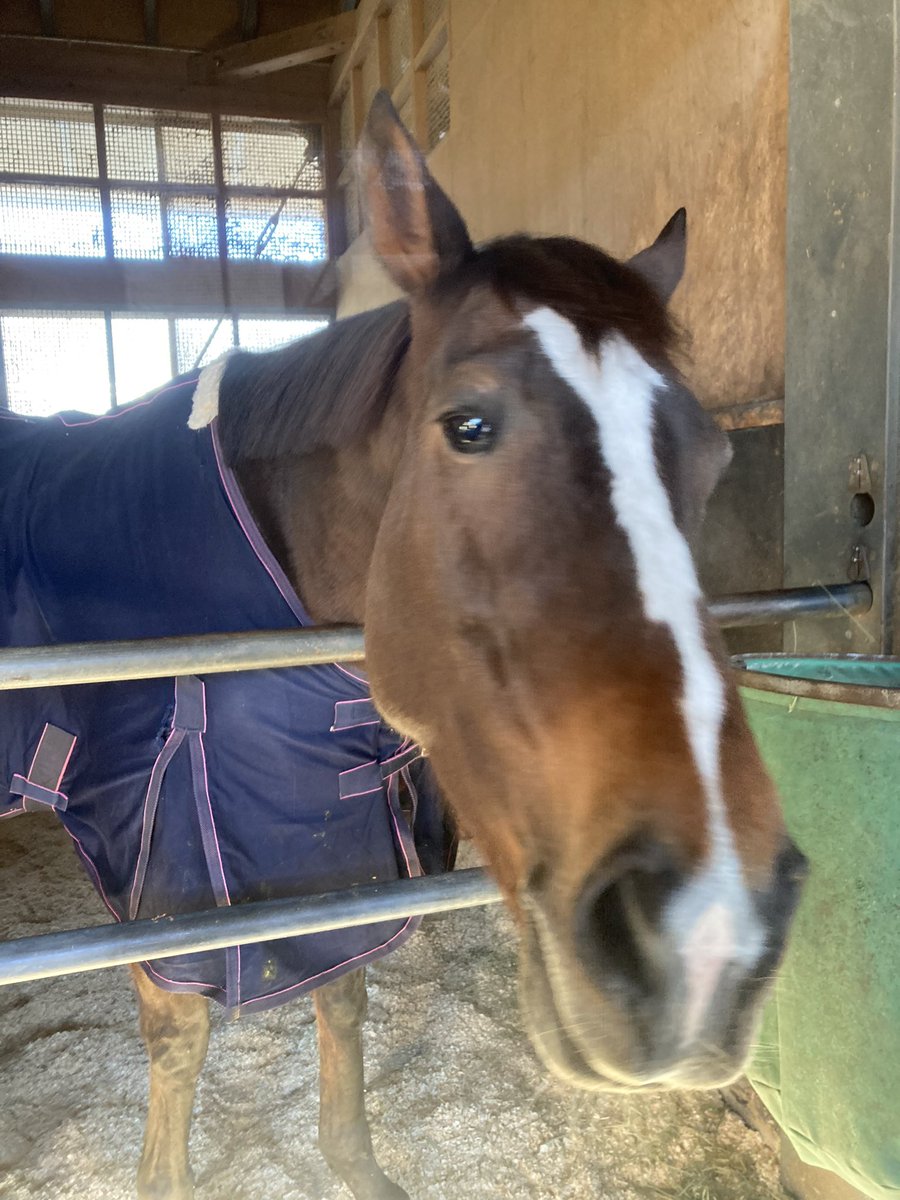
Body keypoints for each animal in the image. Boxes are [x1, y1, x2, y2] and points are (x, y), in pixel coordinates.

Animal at [0, 96, 806, 1200]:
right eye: (468, 425)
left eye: (716, 453)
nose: (708, 936)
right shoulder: (154, 856)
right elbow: (179, 1036)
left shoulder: (318, 827)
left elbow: (343, 990)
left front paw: (354, 1162)